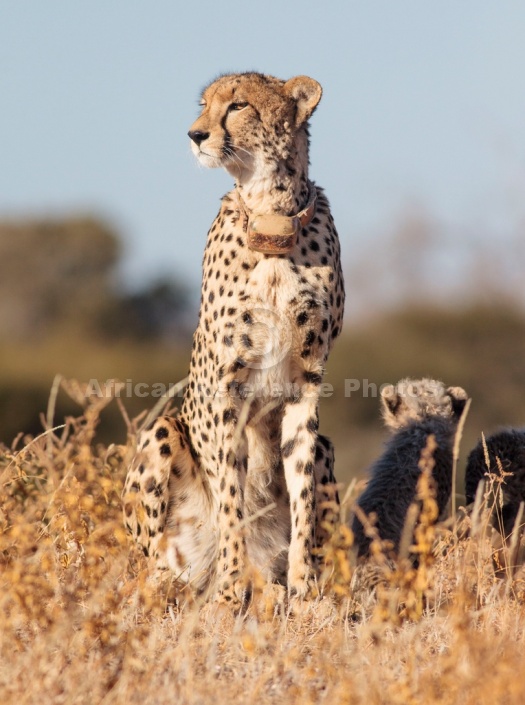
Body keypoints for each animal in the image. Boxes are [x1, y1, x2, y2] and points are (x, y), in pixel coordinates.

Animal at [122, 75, 344, 604]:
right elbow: (230, 498)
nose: (195, 134)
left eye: (239, 105)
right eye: (204, 105)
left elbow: (302, 494)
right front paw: (228, 593)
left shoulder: (306, 384)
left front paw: (306, 592)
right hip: (161, 434)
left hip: (327, 446)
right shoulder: (228, 386)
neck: (271, 220)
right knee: (149, 566)